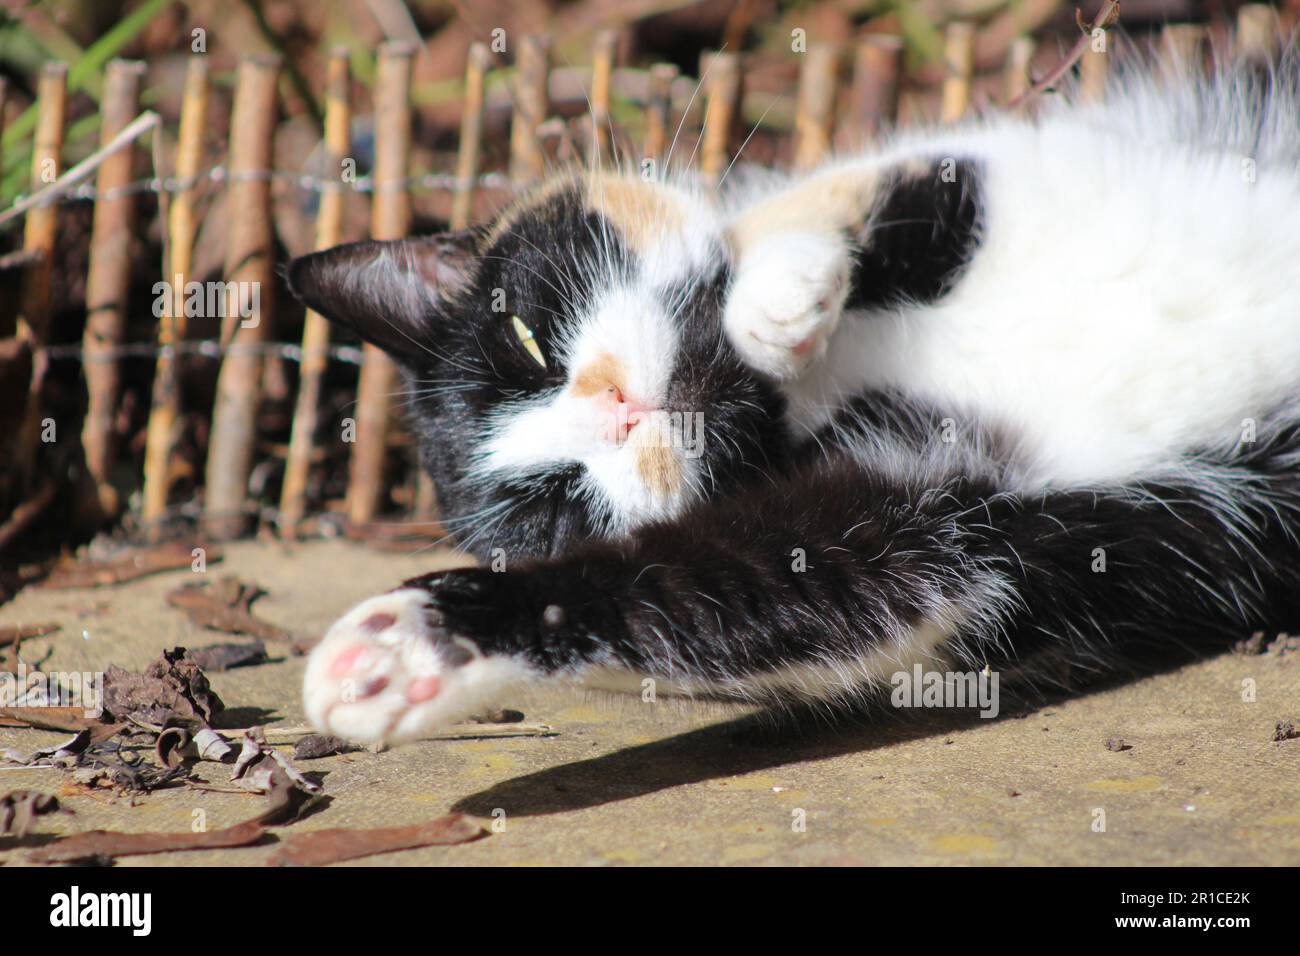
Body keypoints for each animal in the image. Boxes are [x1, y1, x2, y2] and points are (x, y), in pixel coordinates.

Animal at [287, 44, 1300, 749]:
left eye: (529, 338)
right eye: (557, 505)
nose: (618, 408)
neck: (819, 388)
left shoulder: (1022, 164)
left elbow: (876, 190)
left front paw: (770, 300)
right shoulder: (946, 512)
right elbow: (758, 585)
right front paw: (412, 646)